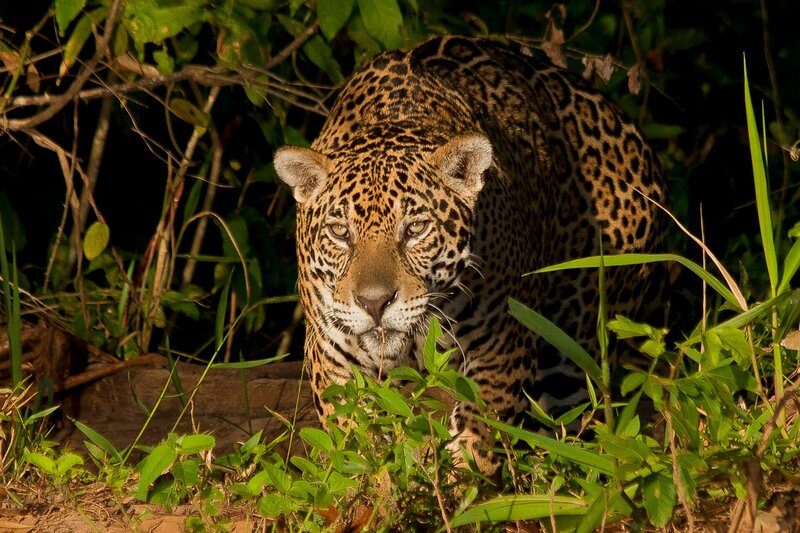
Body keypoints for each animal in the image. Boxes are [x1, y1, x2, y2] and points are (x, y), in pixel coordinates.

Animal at [273, 35, 666, 472]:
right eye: (340, 233)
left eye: (416, 229)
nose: (375, 303)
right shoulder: (334, 358)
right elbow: (361, 446)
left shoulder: (500, 350)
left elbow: (477, 441)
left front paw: (460, 484)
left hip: (575, 348)